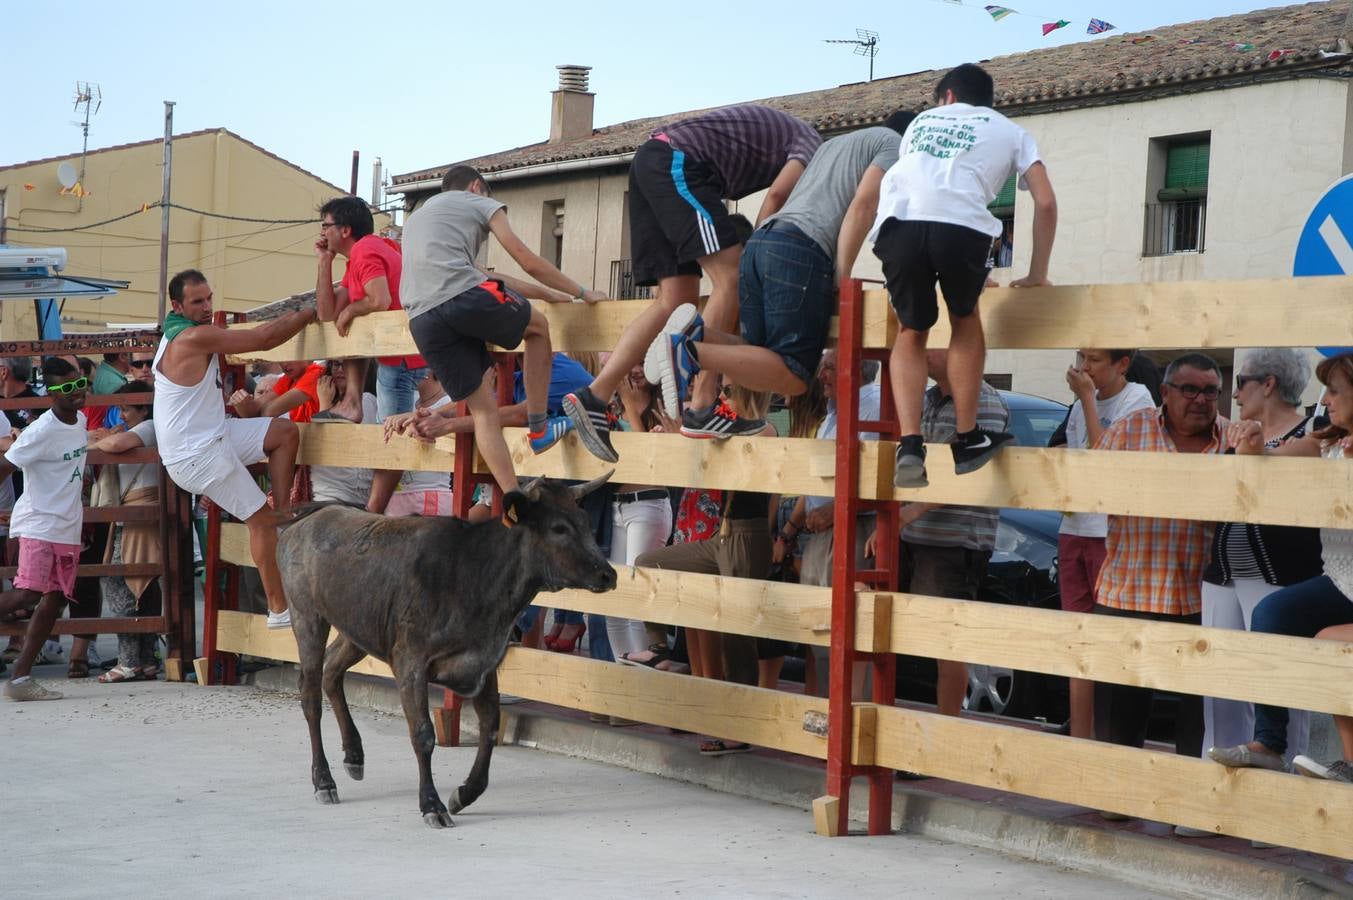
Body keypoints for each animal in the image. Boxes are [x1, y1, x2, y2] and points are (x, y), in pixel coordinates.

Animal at [277, 473, 616, 822]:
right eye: (559, 528)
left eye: (585, 521)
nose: (608, 574)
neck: (474, 576)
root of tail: (308, 518)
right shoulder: (410, 661)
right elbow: (423, 733)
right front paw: (431, 804)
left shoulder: (482, 663)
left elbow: (490, 728)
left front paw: (463, 794)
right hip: (307, 618)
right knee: (311, 695)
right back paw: (323, 780)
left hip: (358, 630)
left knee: (332, 670)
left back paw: (354, 756)